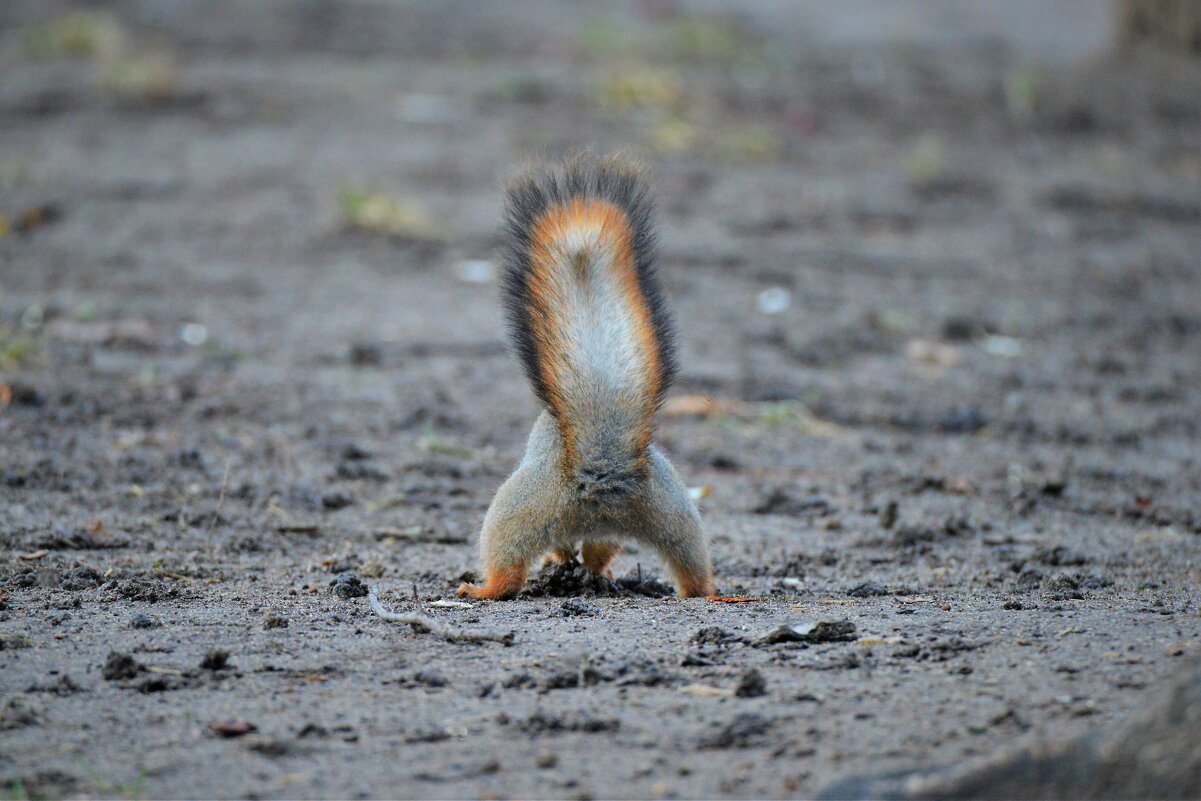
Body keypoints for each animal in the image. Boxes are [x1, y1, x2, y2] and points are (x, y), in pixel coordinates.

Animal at [451, 153, 710, 598]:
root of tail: (603, 467)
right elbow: (594, 550)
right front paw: (580, 566)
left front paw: (560, 561)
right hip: (672, 511)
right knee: (690, 564)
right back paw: (704, 591)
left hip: (520, 507)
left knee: (507, 569)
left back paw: (481, 589)